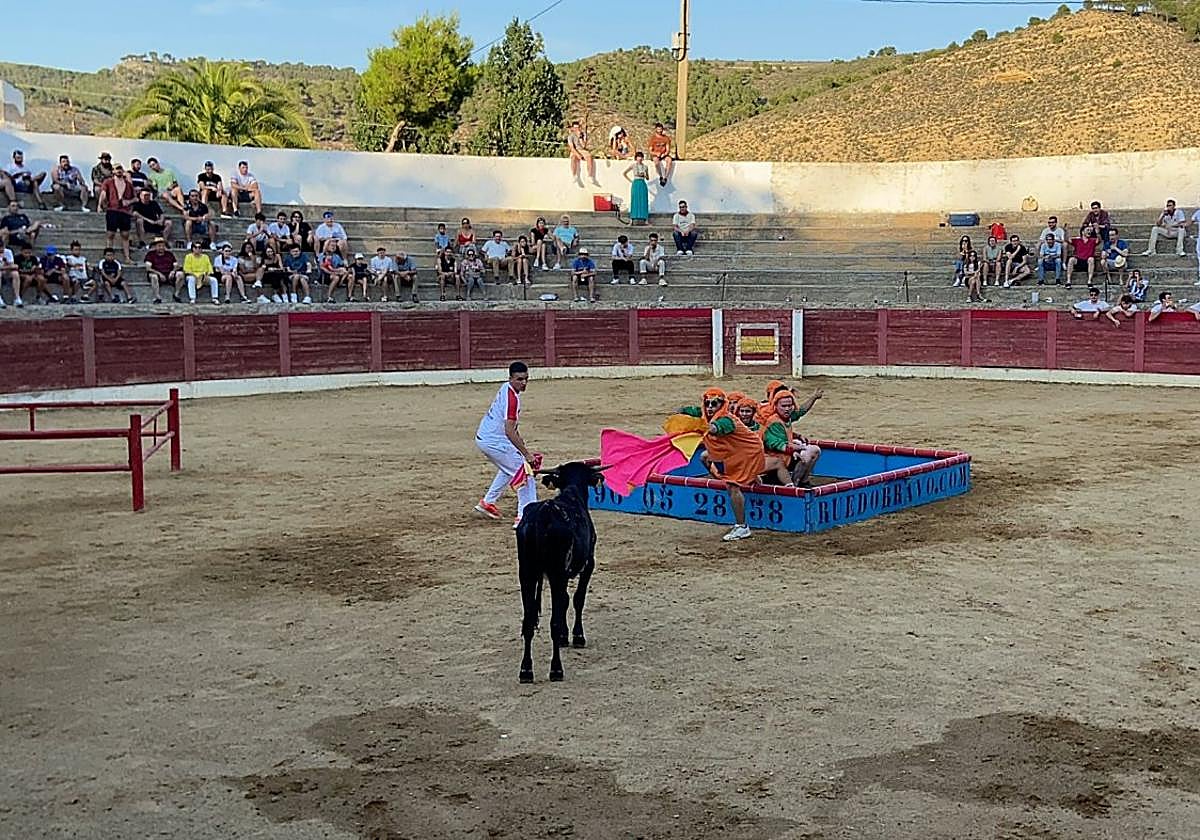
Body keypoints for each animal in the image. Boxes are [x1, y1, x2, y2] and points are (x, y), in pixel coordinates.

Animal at [515, 461, 608, 683]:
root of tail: (542, 516)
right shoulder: (588, 563)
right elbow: (577, 598)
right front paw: (577, 636)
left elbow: (564, 600)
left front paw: (567, 636)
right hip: (554, 572)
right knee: (553, 623)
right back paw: (556, 670)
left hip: (526, 573)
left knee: (528, 621)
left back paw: (526, 671)